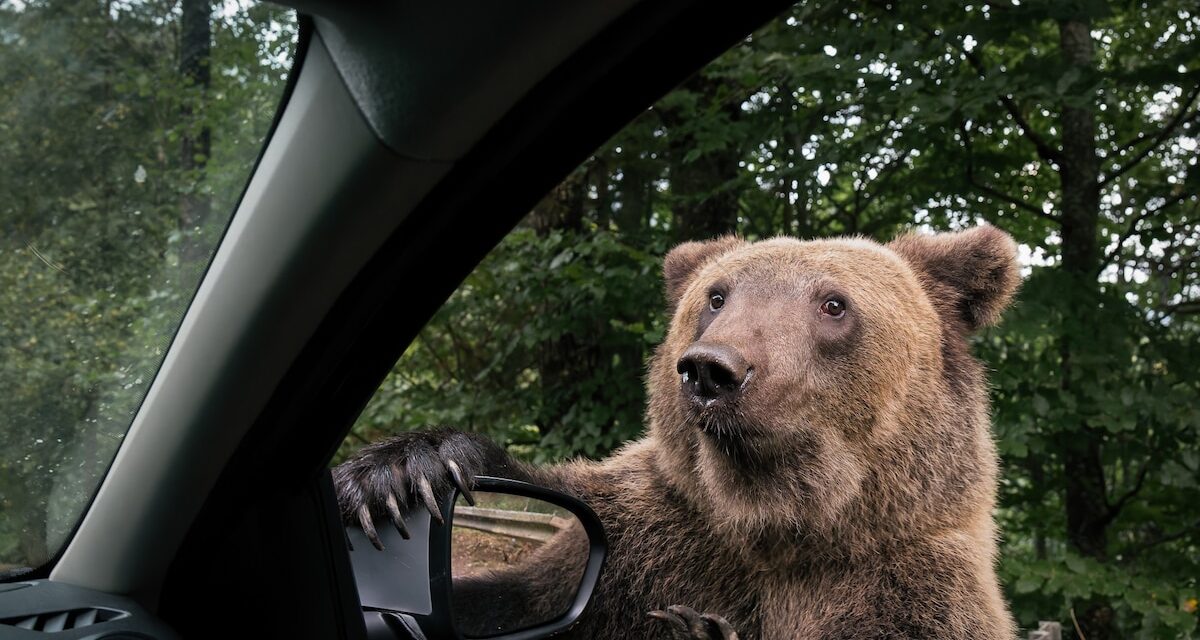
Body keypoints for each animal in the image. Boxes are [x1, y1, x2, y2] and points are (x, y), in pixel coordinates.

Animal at [336, 223, 1022, 633]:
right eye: (717, 295)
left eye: (834, 303)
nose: (712, 369)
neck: (773, 524)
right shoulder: (640, 546)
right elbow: (514, 595)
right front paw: (398, 476)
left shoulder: (903, 590)